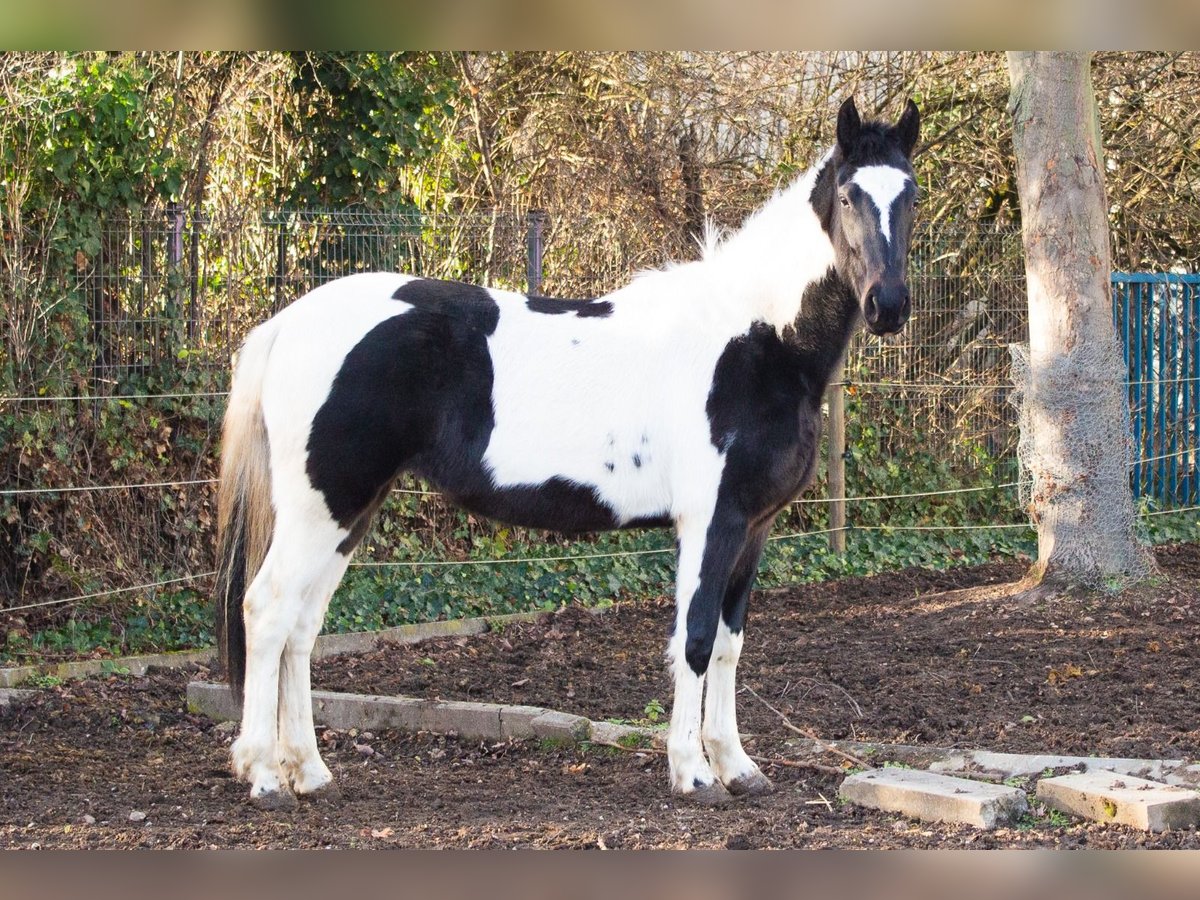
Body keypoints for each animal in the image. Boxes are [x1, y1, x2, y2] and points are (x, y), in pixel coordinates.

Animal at [216, 98, 916, 811]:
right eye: (850, 195)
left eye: (910, 194)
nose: (888, 307)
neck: (757, 337)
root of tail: (287, 323)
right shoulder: (709, 521)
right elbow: (693, 642)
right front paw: (693, 774)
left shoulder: (755, 525)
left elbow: (727, 645)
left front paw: (737, 767)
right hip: (320, 507)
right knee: (267, 612)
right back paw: (265, 775)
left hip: (350, 511)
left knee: (302, 626)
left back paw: (309, 770)